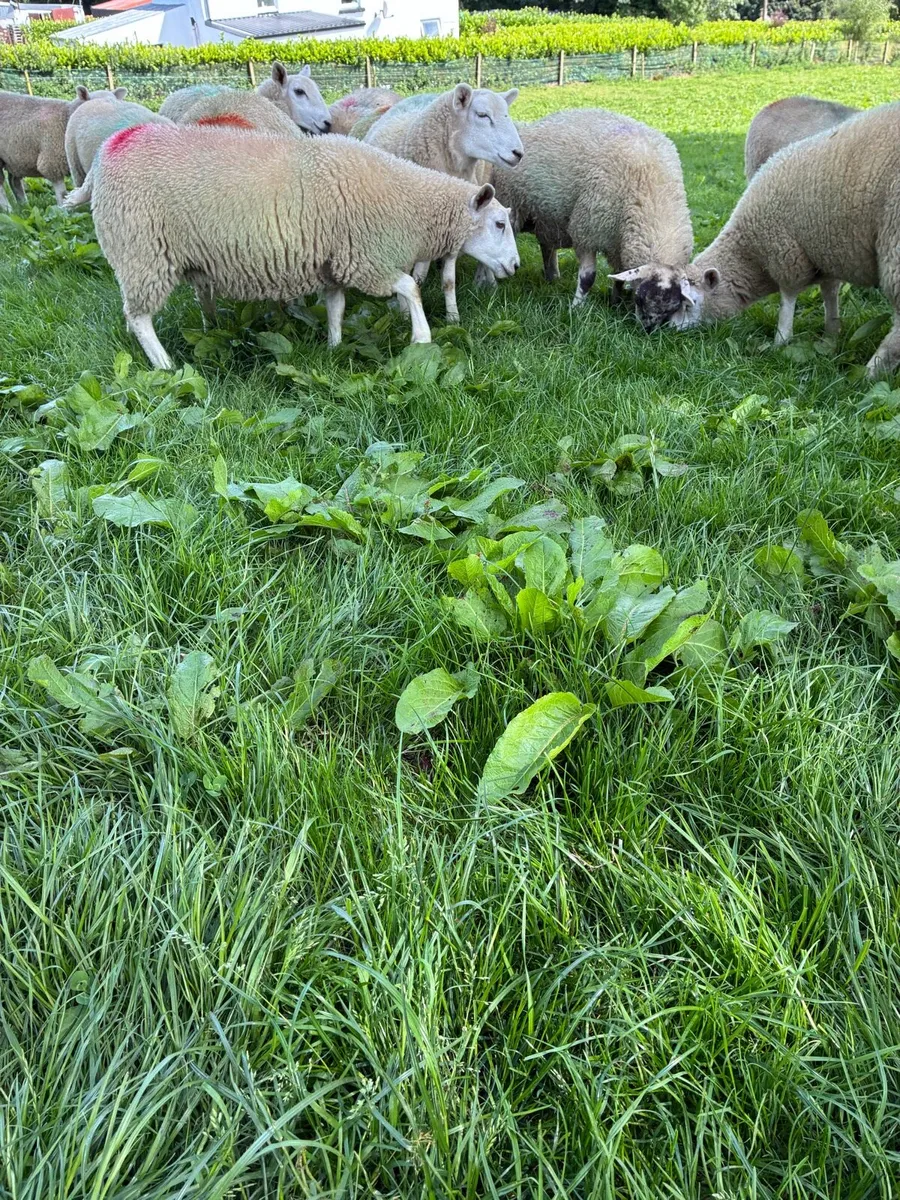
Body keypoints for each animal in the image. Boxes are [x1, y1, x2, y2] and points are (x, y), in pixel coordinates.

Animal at [88, 124, 519, 369]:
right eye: (499, 224)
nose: (515, 267)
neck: (408, 202)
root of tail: (108, 150)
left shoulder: (335, 263)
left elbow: (337, 308)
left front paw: (334, 347)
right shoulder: (366, 257)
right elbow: (410, 287)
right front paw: (422, 338)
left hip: (174, 255)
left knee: (189, 299)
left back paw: (210, 330)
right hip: (141, 250)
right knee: (139, 318)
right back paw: (163, 364)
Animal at [363, 85, 523, 320]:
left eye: (507, 114)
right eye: (482, 115)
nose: (518, 153)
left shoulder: (455, 226)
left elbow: (448, 280)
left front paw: (453, 317)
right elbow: (414, 275)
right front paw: (406, 312)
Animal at [479, 108, 693, 317]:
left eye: (672, 309)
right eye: (640, 298)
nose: (648, 327)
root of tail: (524, 125)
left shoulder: (616, 243)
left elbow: (618, 276)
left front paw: (615, 301)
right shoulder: (587, 230)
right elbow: (588, 277)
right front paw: (576, 309)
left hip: (547, 218)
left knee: (547, 246)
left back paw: (552, 277)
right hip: (514, 205)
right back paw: (489, 283)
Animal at [629, 102, 900, 377]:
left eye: (687, 304)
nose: (667, 330)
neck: (751, 255)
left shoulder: (786, 253)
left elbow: (787, 299)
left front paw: (781, 340)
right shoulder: (824, 254)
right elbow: (830, 294)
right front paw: (830, 336)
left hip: (894, 244)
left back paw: (870, 373)